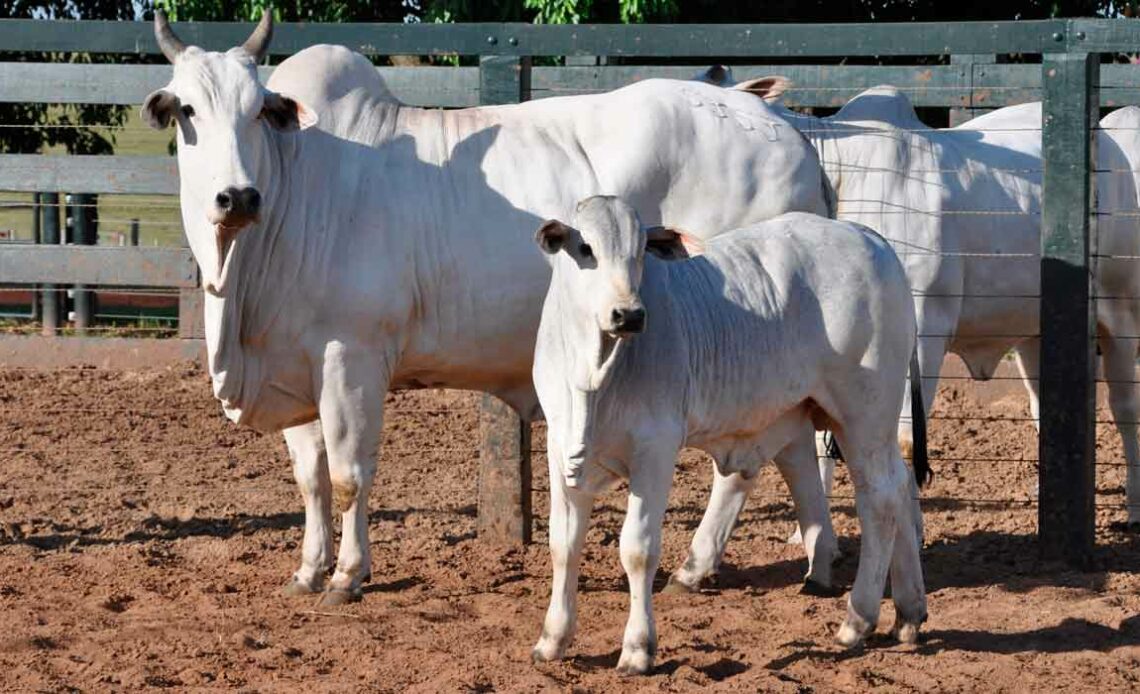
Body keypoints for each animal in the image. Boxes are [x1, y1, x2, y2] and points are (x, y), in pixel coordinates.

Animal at [142, 13, 834, 601]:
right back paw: (815, 562)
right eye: (187, 111)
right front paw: (309, 569)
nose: (237, 197)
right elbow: (310, 474)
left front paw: (347, 574)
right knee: (796, 448)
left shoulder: (352, 354)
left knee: (746, 464)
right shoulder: (294, 361)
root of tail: (789, 130)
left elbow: (348, 472)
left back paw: (701, 562)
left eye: (258, 111)